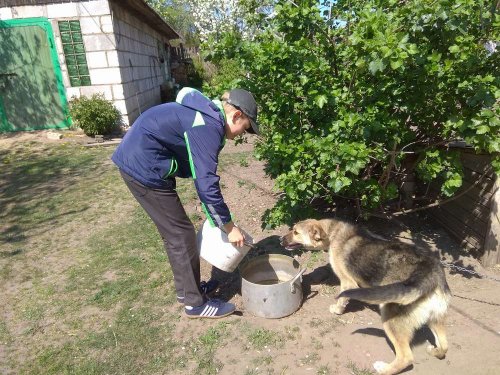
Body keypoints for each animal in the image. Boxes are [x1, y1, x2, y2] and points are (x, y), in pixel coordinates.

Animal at [280, 219, 452, 375]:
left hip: (389, 316)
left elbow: (342, 300)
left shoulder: (348, 283)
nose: (280, 239)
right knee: (444, 346)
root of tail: (430, 271)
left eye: (296, 232)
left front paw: (337, 310)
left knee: (406, 358)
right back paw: (434, 351)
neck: (333, 232)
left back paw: (384, 369)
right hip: (435, 318)